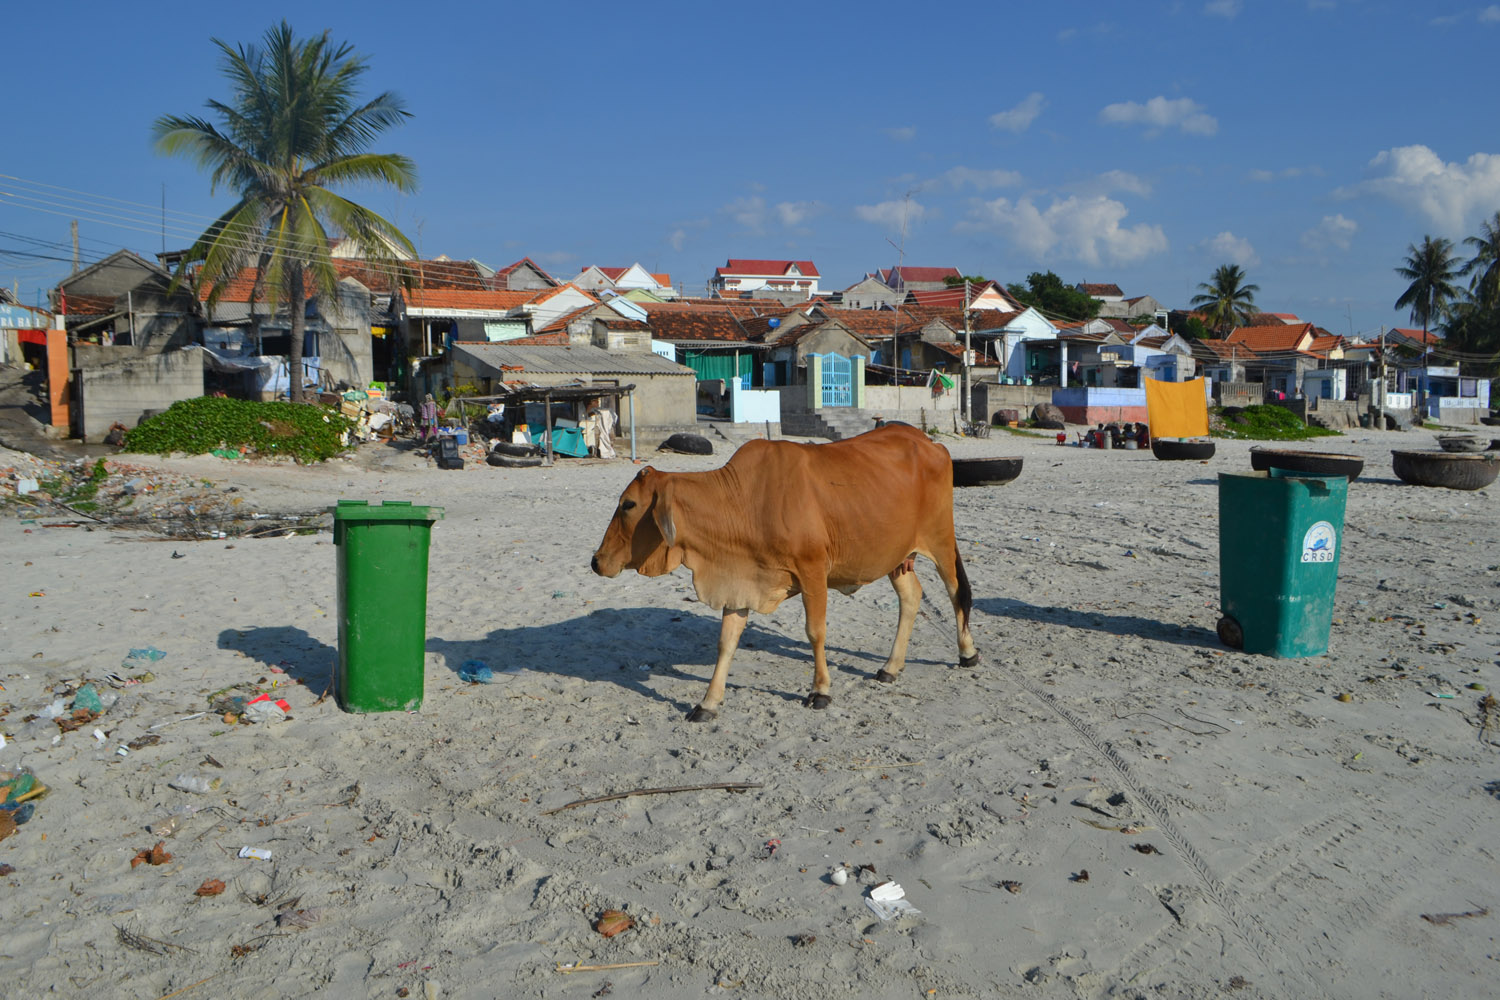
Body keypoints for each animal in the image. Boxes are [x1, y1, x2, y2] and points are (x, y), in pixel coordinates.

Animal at [591, 422, 978, 719]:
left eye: (629, 505)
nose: (596, 561)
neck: (742, 502)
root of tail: (929, 441)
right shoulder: (740, 582)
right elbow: (726, 642)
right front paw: (708, 703)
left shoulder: (813, 572)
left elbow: (815, 632)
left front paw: (820, 690)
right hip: (896, 557)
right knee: (912, 596)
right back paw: (890, 667)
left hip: (941, 540)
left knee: (956, 591)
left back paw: (967, 653)